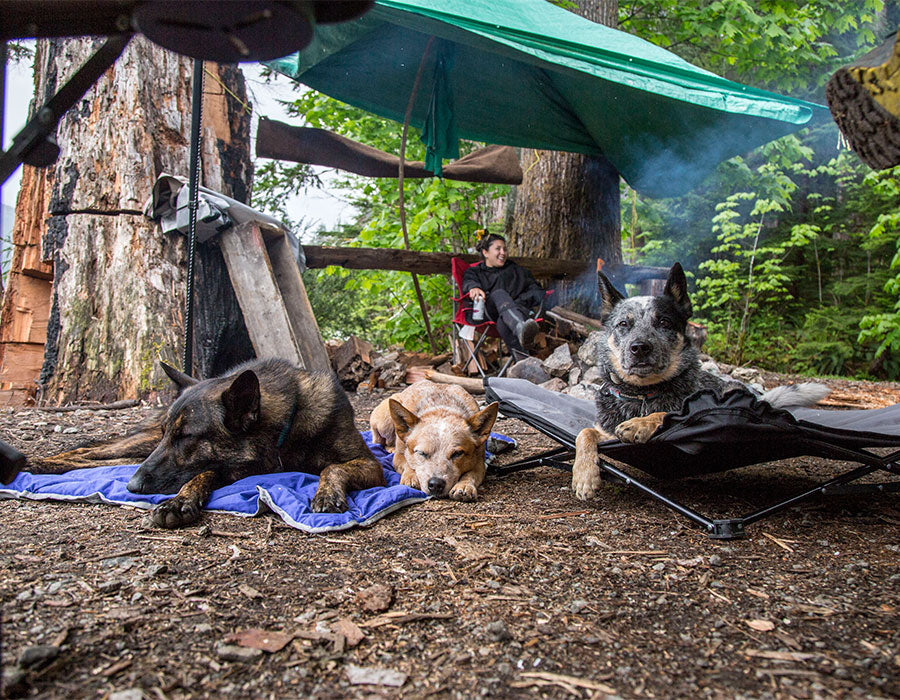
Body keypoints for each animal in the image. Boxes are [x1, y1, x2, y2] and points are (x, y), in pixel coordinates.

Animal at [370, 380, 502, 500]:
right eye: (421, 453)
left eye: (457, 454)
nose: (436, 484)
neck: (442, 409)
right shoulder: (399, 456)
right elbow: (407, 463)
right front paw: (411, 477)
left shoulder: (480, 462)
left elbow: (471, 474)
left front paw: (464, 486)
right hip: (385, 421)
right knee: (379, 440)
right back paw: (390, 447)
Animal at [572, 260, 832, 500]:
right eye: (623, 324)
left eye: (664, 322)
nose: (640, 348)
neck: (641, 394)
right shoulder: (603, 430)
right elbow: (584, 433)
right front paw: (584, 476)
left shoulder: (691, 409)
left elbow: (667, 413)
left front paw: (639, 424)